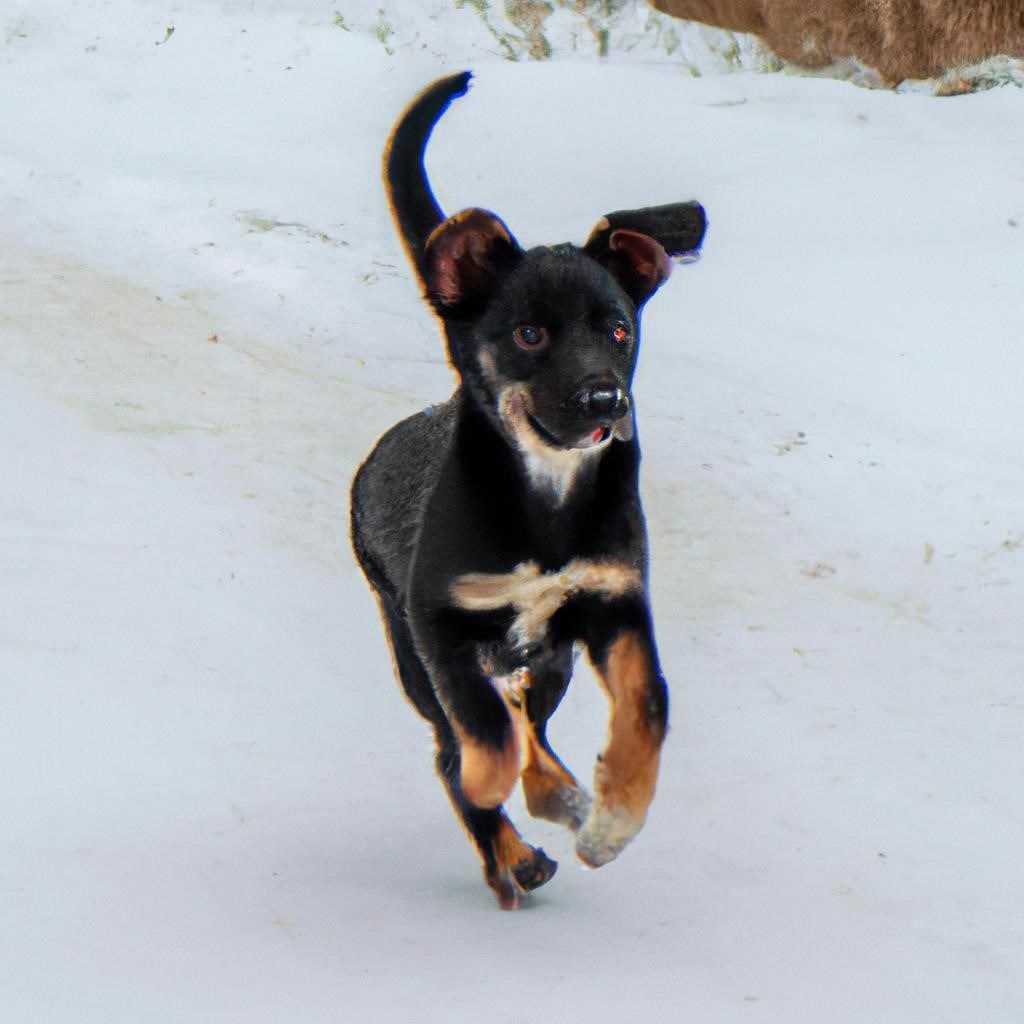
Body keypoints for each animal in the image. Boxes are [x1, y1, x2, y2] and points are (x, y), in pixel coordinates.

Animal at [350, 74, 704, 913]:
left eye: (618, 329)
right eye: (530, 335)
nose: (606, 400)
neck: (547, 501)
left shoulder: (613, 602)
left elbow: (648, 707)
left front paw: (616, 814)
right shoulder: (438, 622)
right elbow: (479, 732)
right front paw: (493, 783)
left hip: (552, 662)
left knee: (532, 727)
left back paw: (559, 799)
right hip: (410, 649)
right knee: (460, 740)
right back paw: (509, 848)